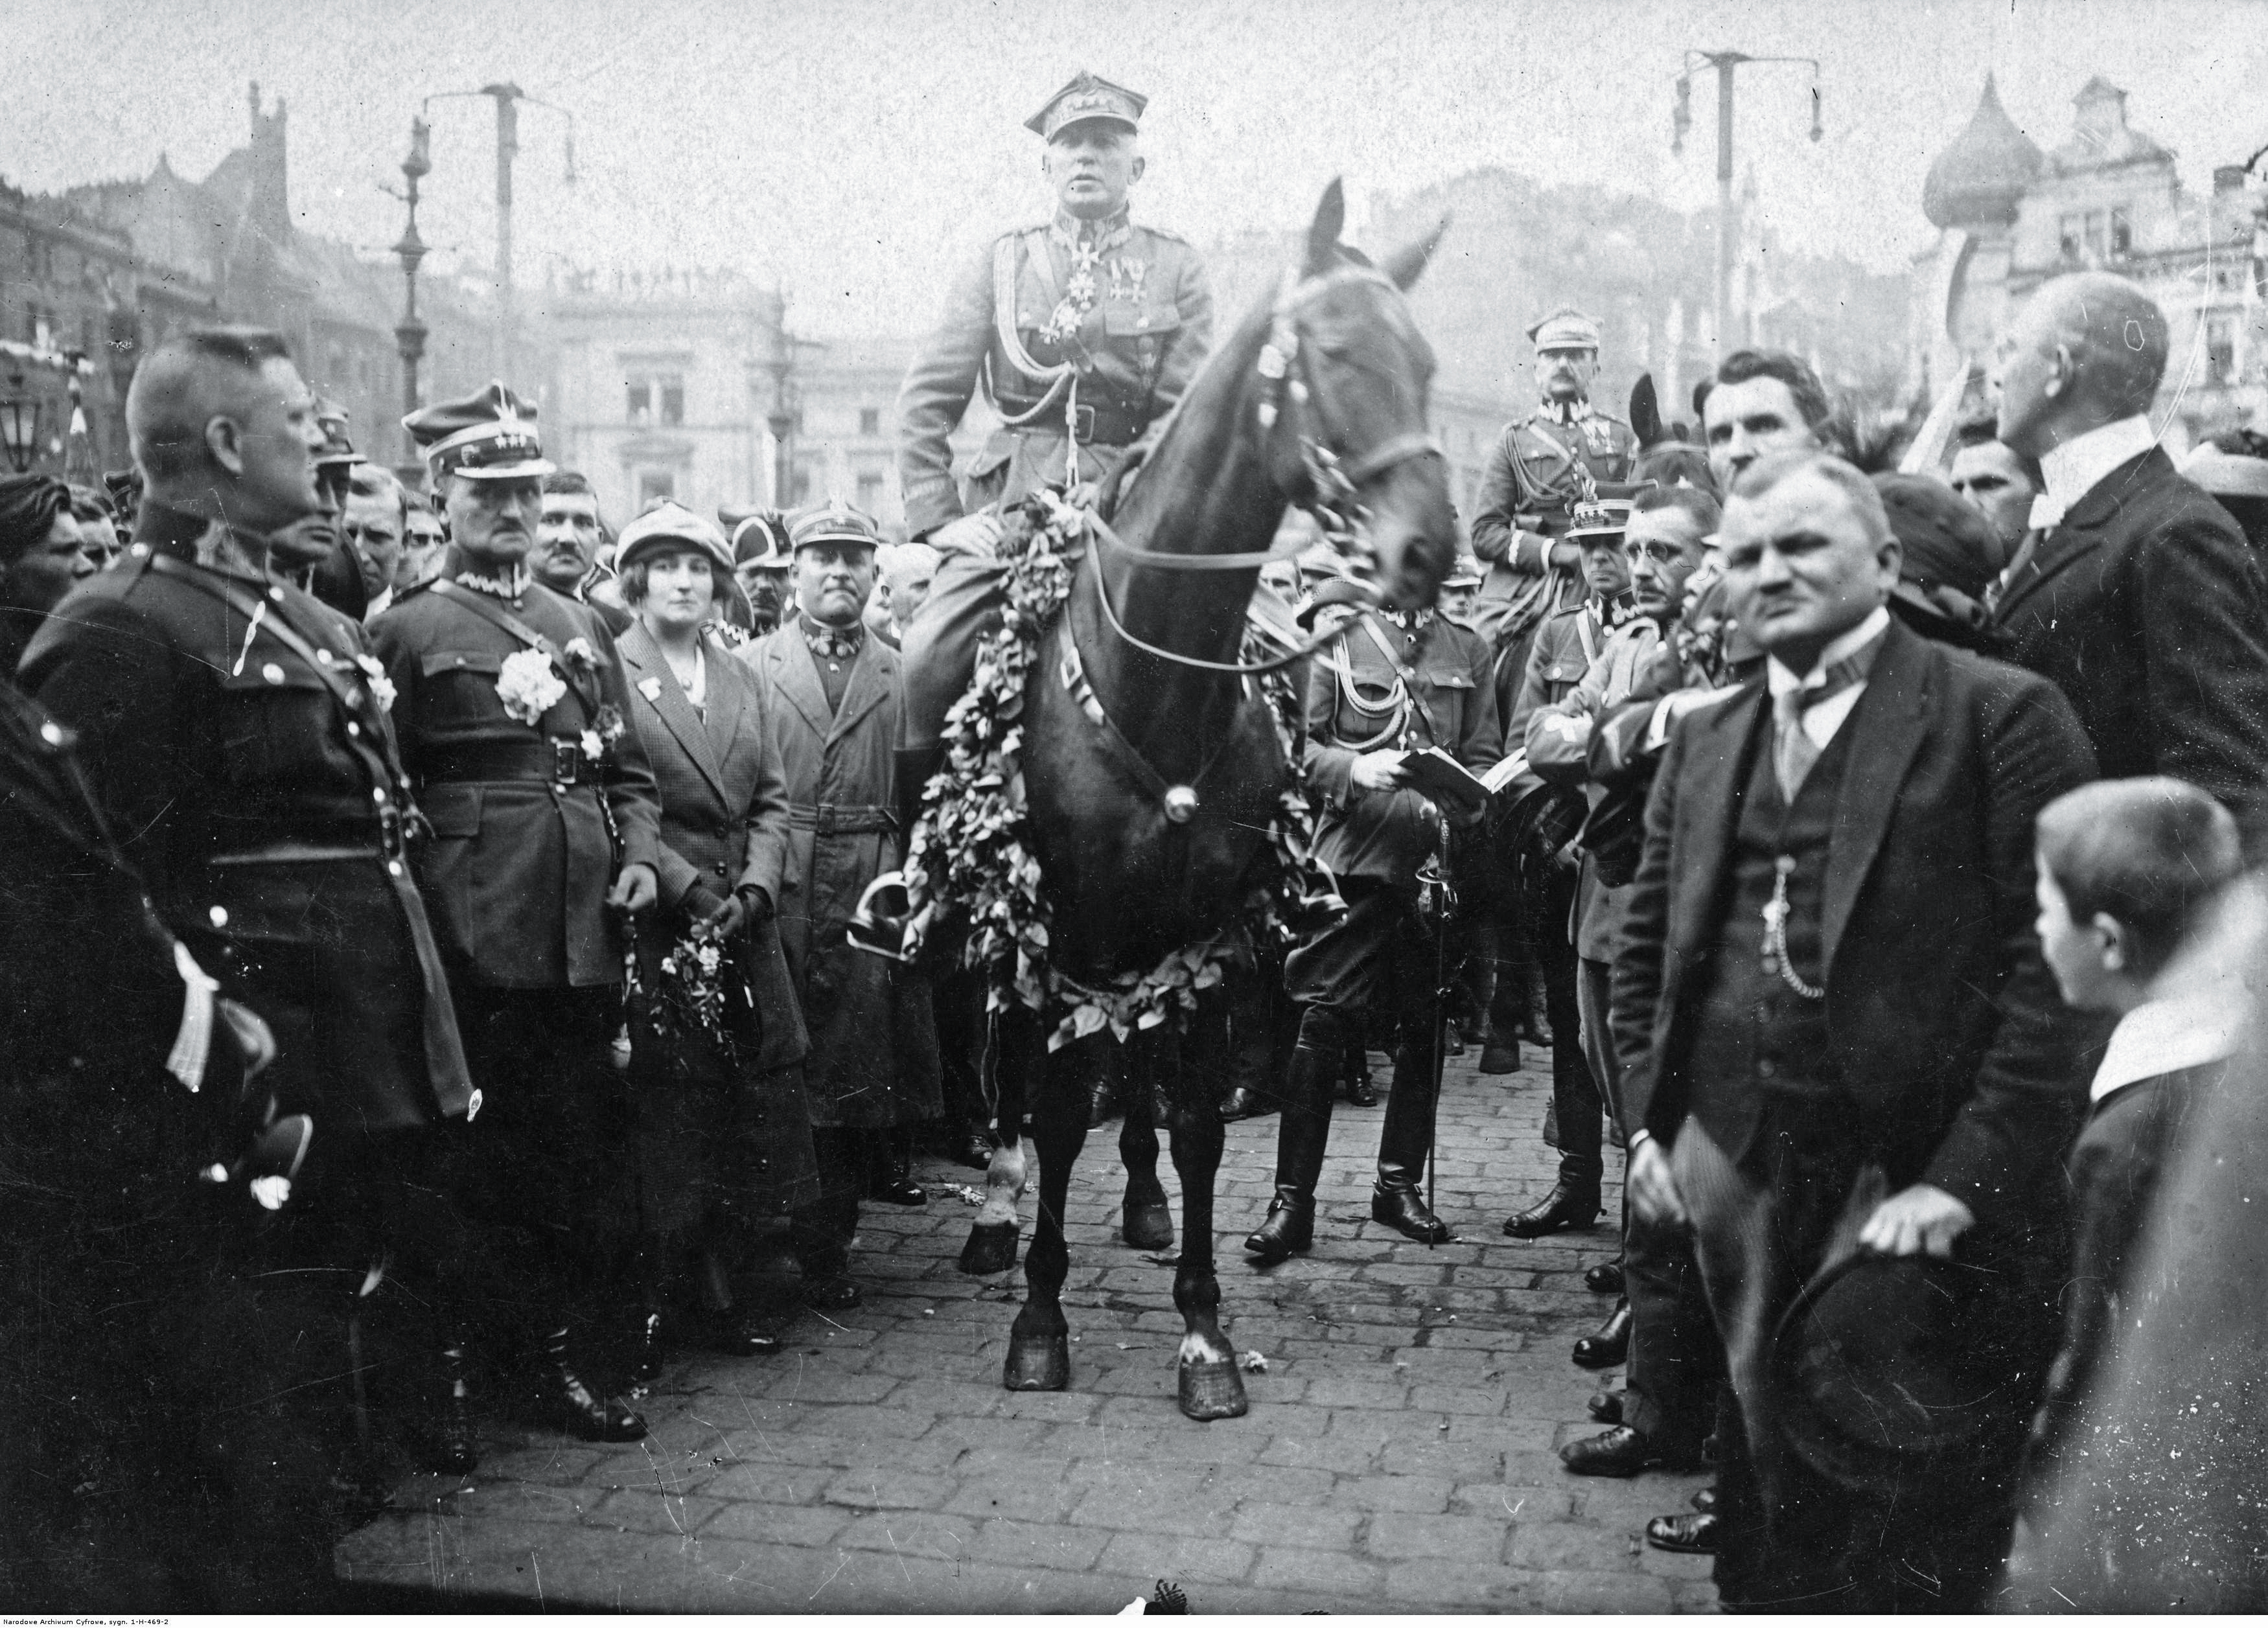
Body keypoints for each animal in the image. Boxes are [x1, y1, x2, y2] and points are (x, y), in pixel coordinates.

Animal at [953, 185, 1461, 1424]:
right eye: (1335, 354)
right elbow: (1053, 1105)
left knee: (1134, 1068)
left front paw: (1202, 1328)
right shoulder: (1066, 926)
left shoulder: (1207, 934)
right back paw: (1000, 1211)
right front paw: (1040, 1318)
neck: (1159, 670)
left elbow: (1191, 1126)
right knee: (1020, 1074)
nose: (1431, 546)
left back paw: (1137, 1202)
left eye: (1426, 362)